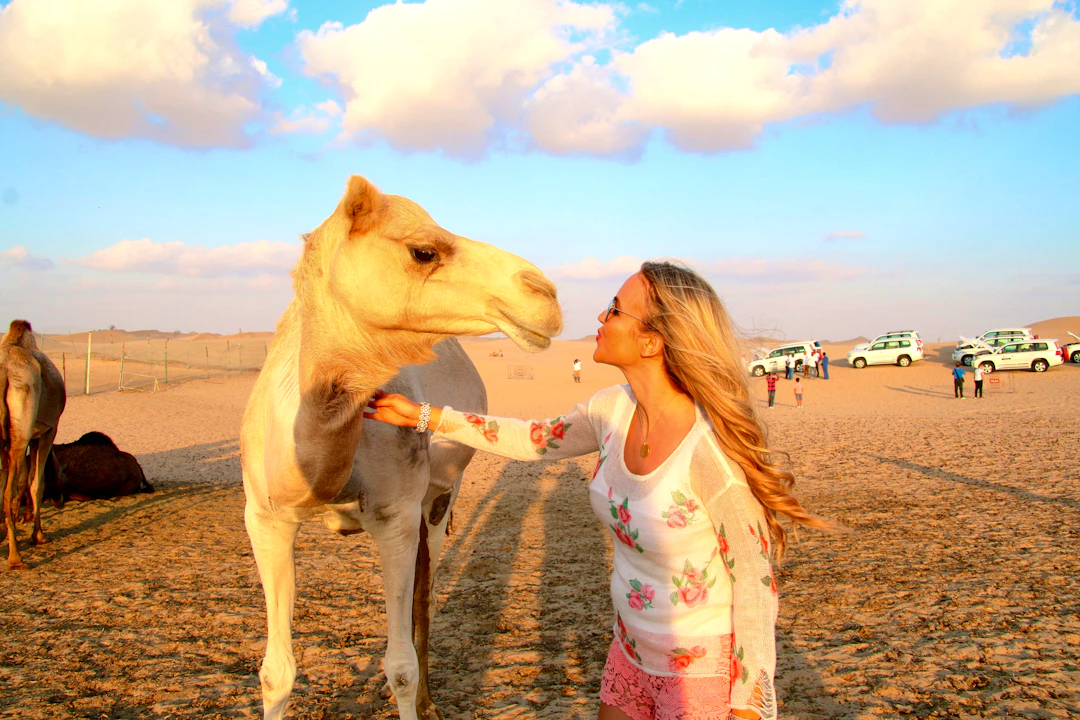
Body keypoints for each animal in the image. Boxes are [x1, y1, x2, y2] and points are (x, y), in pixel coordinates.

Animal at [1, 319, 66, 569]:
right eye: (64, 477)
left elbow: (22, 480)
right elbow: (36, 483)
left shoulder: (28, 439)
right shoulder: (48, 430)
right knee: (9, 494)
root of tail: (4, 370)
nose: (60, 502)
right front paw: (38, 535)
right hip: (22, 429)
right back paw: (15, 557)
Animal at [241, 175, 561, 720]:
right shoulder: (264, 517)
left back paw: (432, 702)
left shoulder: (396, 516)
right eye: (423, 251)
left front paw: (417, 694)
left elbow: (400, 668)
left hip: (438, 498)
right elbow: (275, 672)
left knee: (424, 593)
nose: (545, 293)